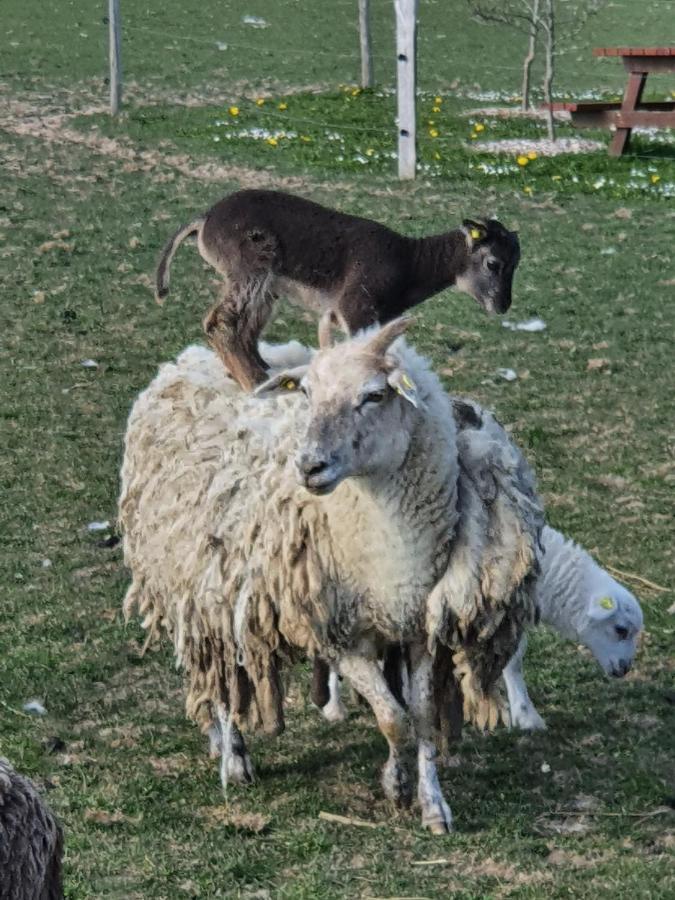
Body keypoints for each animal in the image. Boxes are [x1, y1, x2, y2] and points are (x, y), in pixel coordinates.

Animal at [120, 320, 544, 832]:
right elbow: (392, 718)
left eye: (375, 395)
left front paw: (433, 805)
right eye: (306, 392)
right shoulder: (339, 636)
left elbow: (421, 717)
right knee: (225, 679)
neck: (390, 558)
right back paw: (233, 755)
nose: (310, 466)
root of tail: (185, 360)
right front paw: (396, 785)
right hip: (204, 593)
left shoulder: (419, 629)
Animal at [156, 188, 520, 388]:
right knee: (220, 323)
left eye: (516, 264)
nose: (502, 305)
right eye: (493, 264)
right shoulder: (356, 308)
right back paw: (254, 381)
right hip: (250, 267)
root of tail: (204, 221)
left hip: (264, 284)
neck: (410, 265)